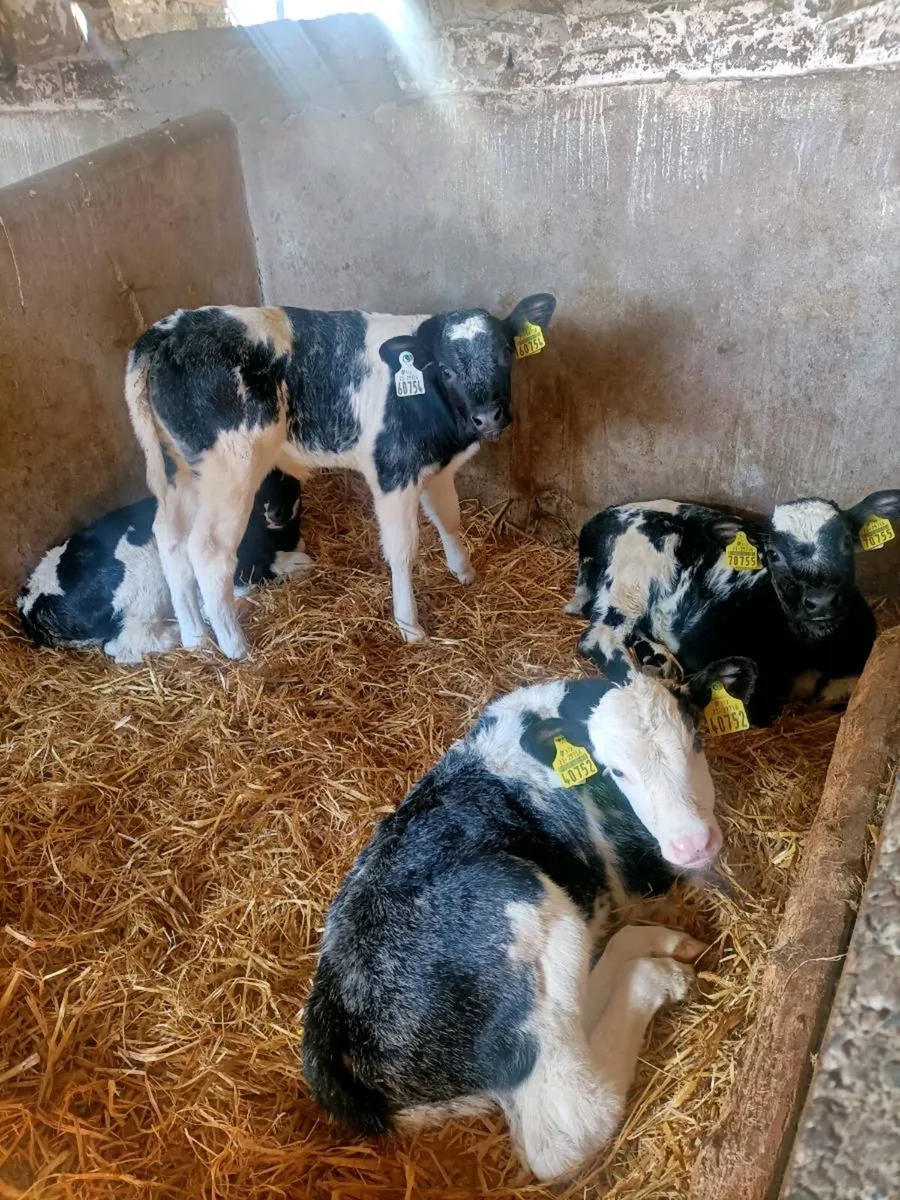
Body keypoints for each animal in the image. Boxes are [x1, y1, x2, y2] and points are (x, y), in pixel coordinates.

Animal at [124, 296, 556, 660]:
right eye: (447, 369)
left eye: (506, 354)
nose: (488, 417)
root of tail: (171, 327)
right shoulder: (392, 471)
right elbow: (402, 549)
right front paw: (409, 626)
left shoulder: (434, 468)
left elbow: (449, 519)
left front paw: (464, 572)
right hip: (230, 468)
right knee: (208, 550)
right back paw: (235, 646)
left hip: (185, 469)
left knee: (170, 539)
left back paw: (195, 637)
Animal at [301, 654, 756, 1180]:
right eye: (617, 771)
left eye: (696, 741)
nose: (693, 842)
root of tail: (331, 1010)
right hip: (528, 905)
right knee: (568, 1122)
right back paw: (658, 975)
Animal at [567, 490, 900, 726]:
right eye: (773, 554)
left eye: (847, 542)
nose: (821, 601)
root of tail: (599, 519)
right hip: (633, 575)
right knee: (601, 637)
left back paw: (658, 658)